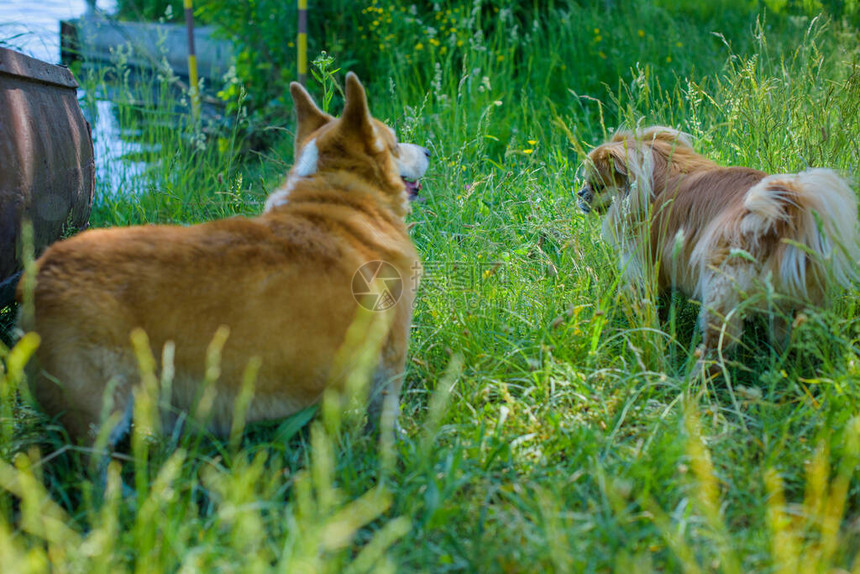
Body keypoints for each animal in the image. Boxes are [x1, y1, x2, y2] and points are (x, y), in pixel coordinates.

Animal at [21, 73, 430, 446]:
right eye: (394, 144)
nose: (427, 150)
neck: (340, 196)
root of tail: (40, 274)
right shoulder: (393, 351)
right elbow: (385, 414)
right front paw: (392, 451)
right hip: (101, 410)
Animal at [576, 126, 860, 360]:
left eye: (596, 184)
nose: (579, 193)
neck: (659, 177)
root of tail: (782, 218)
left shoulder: (642, 267)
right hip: (797, 303)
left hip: (720, 290)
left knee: (717, 349)